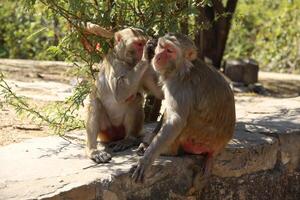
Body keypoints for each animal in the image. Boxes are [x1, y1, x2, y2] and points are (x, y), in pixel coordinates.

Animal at [85, 26, 163, 163]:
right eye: (139, 44)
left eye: (144, 42)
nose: (144, 49)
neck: (126, 61)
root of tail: (116, 135)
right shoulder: (115, 64)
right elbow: (119, 93)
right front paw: (146, 55)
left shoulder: (147, 70)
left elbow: (160, 92)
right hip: (105, 131)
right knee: (93, 101)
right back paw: (93, 150)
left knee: (135, 99)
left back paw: (129, 139)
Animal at [132, 33, 236, 183]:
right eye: (162, 46)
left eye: (170, 51)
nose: (158, 56)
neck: (182, 67)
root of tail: (216, 150)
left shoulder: (180, 84)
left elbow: (176, 121)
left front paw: (146, 160)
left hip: (197, 139)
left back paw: (168, 151)